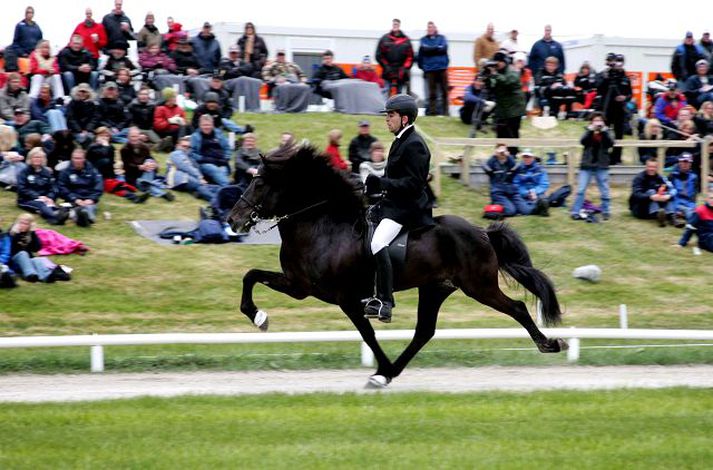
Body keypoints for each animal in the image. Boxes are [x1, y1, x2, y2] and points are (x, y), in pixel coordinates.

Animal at [229, 143, 568, 390]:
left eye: (259, 183)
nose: (233, 220)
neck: (323, 225)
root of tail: (482, 232)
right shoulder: (299, 285)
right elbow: (251, 276)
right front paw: (258, 317)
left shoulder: (344, 298)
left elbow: (368, 335)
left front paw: (379, 370)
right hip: (435, 288)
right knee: (424, 332)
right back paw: (394, 369)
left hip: (479, 286)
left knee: (517, 308)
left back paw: (549, 344)